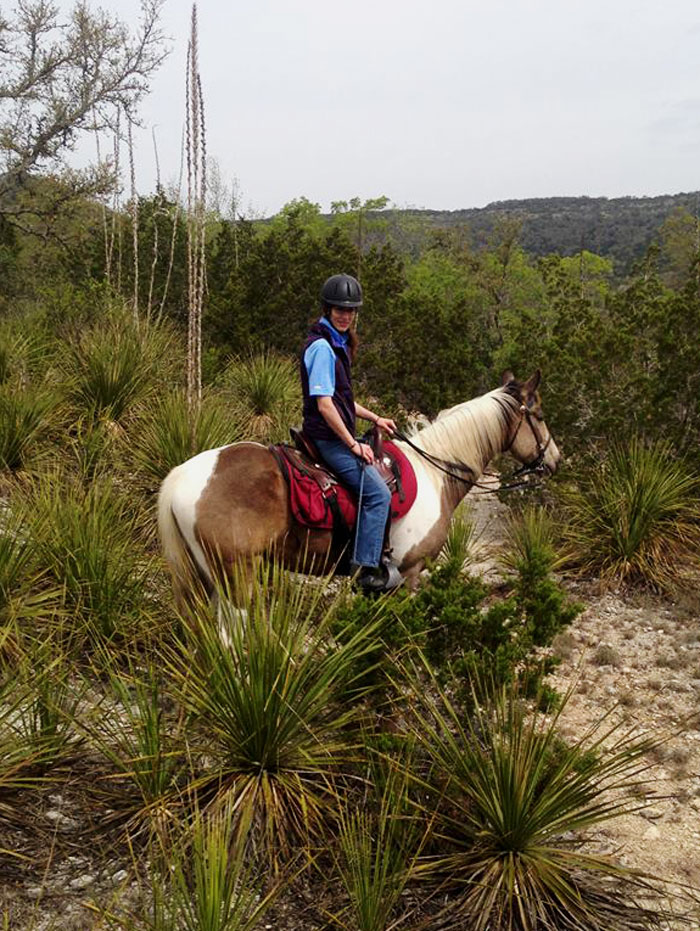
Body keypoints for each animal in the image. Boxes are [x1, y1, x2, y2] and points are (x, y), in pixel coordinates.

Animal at [159, 372, 564, 604]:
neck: (435, 471)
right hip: (234, 575)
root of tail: (181, 474)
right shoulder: (409, 575)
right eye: (541, 416)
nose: (556, 460)